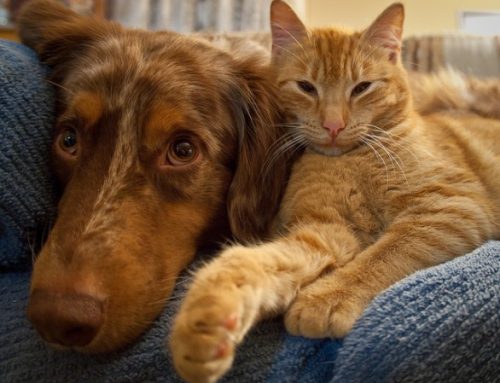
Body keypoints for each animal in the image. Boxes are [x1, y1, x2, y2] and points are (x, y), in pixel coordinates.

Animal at [170, 3, 498, 383]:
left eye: (361, 88)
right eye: (306, 87)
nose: (333, 125)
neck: (350, 160)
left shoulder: (450, 206)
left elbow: (383, 254)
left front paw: (328, 299)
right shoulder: (324, 229)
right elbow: (250, 262)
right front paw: (207, 319)